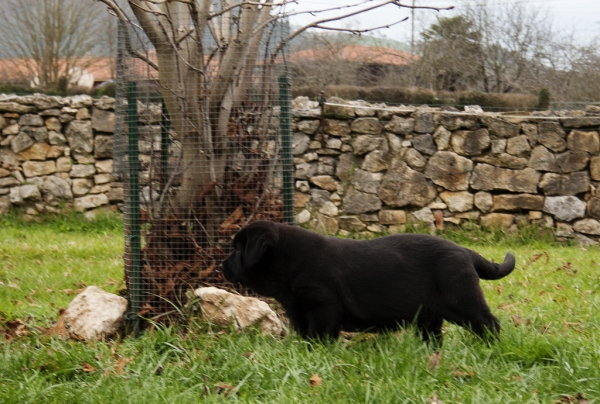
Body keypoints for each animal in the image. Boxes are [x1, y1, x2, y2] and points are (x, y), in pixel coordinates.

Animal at [223, 221, 512, 344]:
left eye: (237, 250)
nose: (221, 266)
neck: (291, 262)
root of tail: (465, 251)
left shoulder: (322, 306)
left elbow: (319, 335)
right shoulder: (299, 311)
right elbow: (304, 335)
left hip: (463, 301)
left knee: (489, 323)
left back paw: (491, 347)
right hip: (429, 316)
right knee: (434, 335)